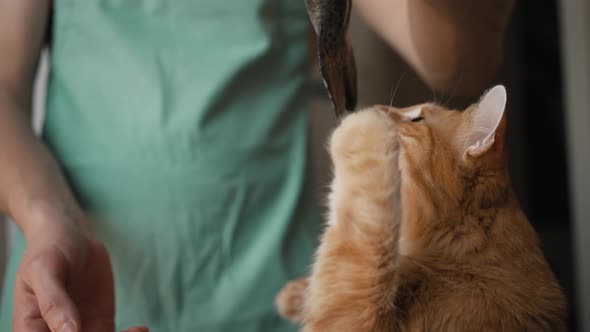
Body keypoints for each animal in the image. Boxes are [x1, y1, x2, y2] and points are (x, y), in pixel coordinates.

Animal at [278, 86, 568, 332]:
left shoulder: (353, 317)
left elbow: (362, 237)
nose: (375, 106)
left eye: (416, 119)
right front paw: (296, 295)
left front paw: (360, 127)